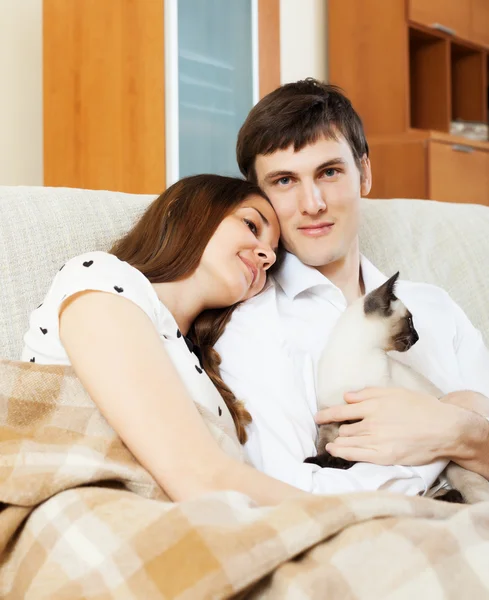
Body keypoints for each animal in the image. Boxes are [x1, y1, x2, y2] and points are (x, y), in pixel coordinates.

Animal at [304, 274, 488, 504]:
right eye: (409, 321)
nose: (417, 337)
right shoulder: (330, 417)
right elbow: (325, 445)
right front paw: (322, 461)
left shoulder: (364, 420)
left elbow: (349, 451)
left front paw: (341, 462)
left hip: (457, 467)